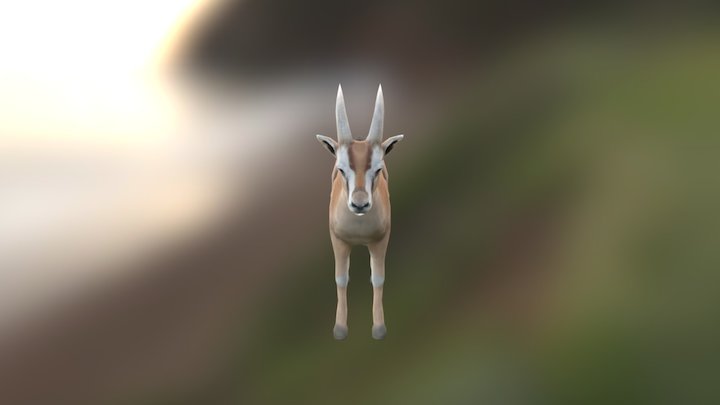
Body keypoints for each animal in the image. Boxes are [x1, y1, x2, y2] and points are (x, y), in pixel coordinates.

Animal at [316, 85, 404, 340]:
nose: (360, 204)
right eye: (341, 169)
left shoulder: (380, 241)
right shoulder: (338, 241)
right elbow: (341, 279)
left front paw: (379, 328)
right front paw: (340, 329)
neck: (359, 230)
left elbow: (378, 278)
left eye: (378, 169)